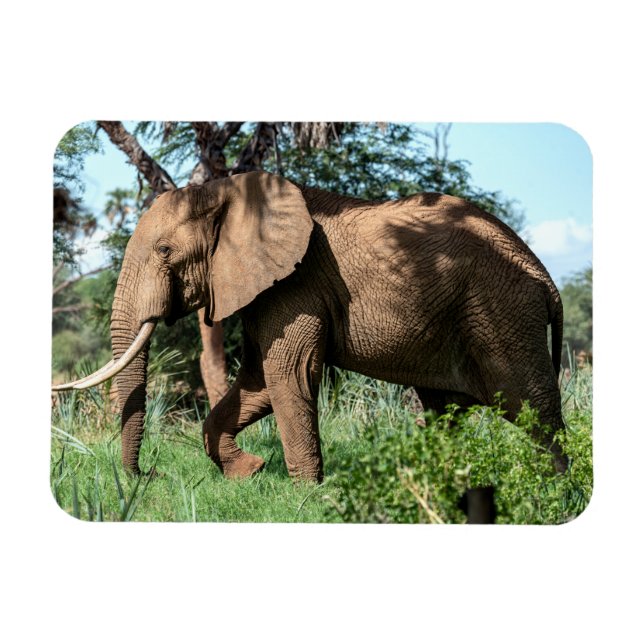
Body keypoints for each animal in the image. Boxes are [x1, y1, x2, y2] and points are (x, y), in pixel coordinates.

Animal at [54, 170, 567, 480]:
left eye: (164, 251)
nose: (149, 475)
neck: (229, 189)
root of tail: (546, 276)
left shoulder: (296, 283)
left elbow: (288, 373)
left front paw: (306, 496)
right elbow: (258, 382)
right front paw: (251, 471)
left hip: (502, 310)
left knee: (533, 407)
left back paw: (554, 490)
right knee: (447, 410)